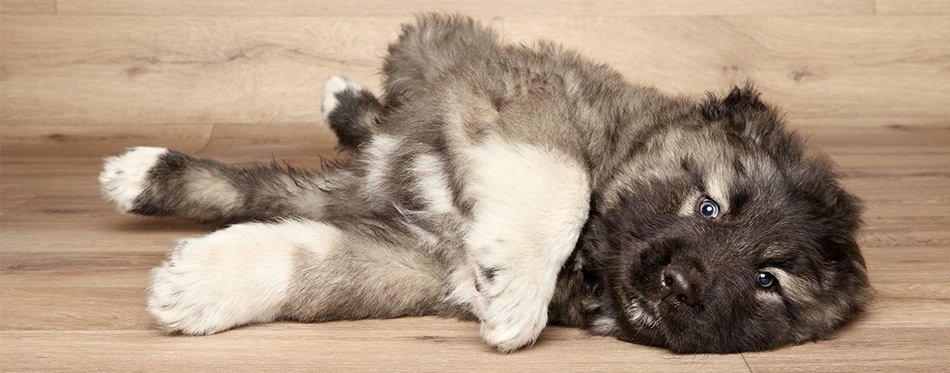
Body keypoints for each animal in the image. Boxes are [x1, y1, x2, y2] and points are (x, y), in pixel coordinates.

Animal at [100, 14, 872, 352]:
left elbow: (317, 264)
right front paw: (518, 290)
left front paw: (200, 284)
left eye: (768, 281)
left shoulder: (415, 262)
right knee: (406, 80)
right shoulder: (532, 96)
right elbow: (564, 181)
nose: (679, 284)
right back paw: (340, 100)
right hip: (439, 43)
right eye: (708, 205)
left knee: (295, 185)